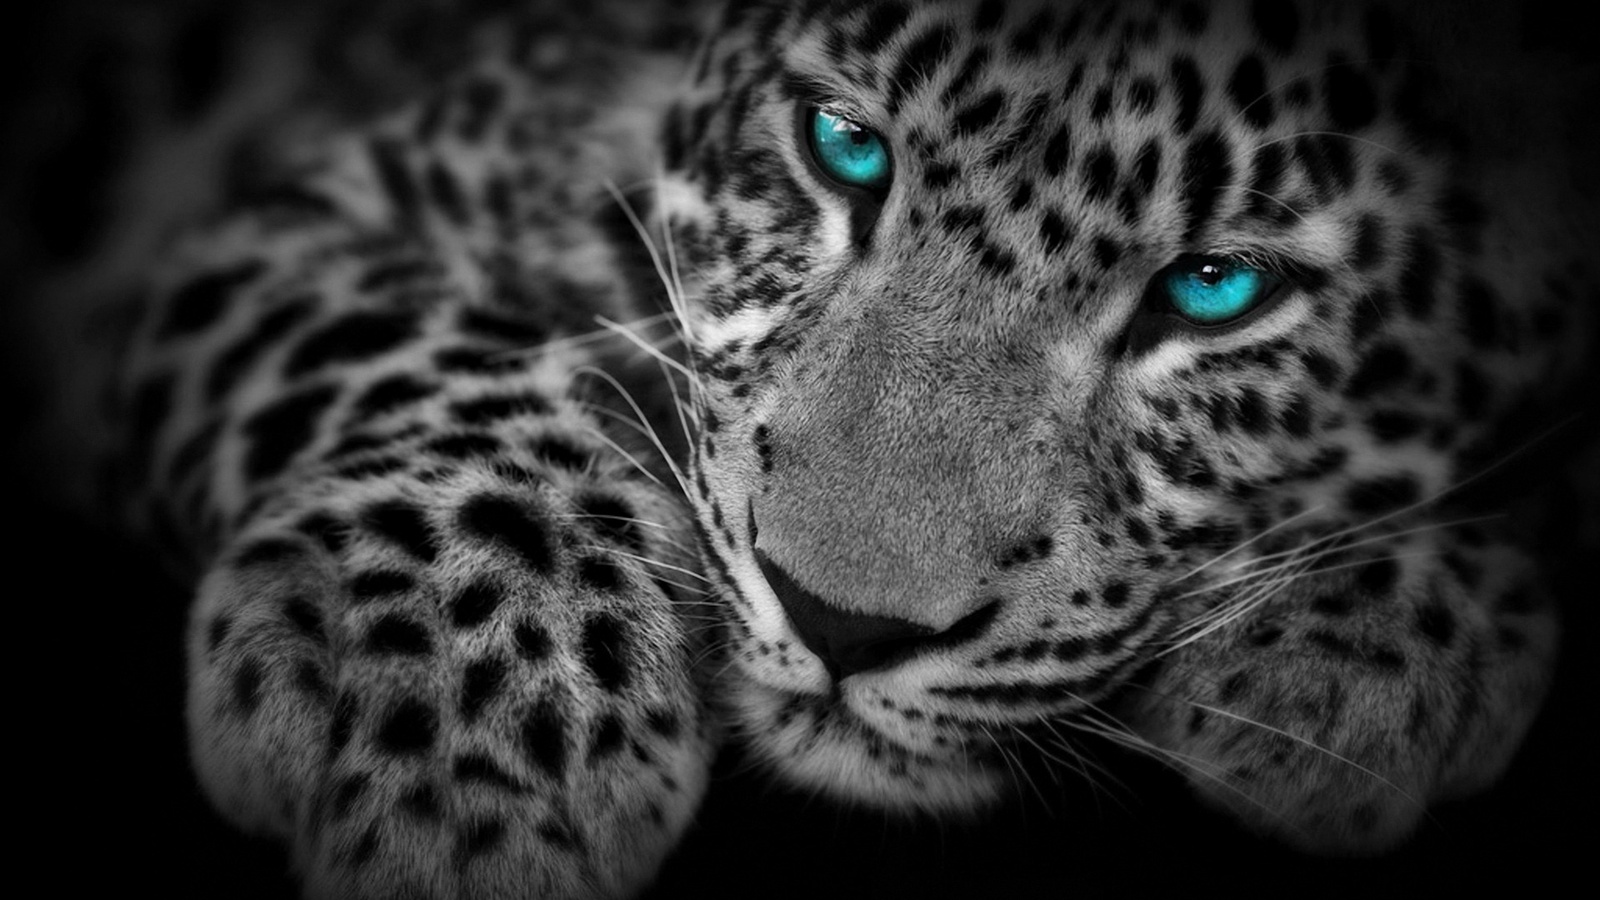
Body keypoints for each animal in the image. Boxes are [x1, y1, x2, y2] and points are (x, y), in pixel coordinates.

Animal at [6, 0, 1597, 897]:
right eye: (841, 146)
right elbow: (408, 339)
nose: (842, 626)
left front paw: (1372, 640)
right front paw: (464, 725)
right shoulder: (280, 222)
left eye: (1217, 286)